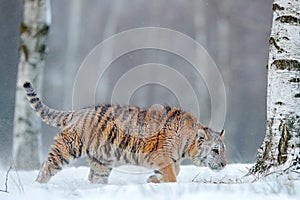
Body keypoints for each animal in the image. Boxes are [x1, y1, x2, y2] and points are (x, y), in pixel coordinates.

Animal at [22, 81, 225, 183]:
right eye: (215, 150)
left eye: (224, 151)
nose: (224, 164)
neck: (187, 145)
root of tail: (78, 112)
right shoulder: (161, 156)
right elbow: (172, 175)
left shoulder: (169, 159)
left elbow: (175, 170)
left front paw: (153, 180)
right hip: (66, 149)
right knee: (46, 168)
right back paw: (39, 188)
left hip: (101, 162)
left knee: (95, 178)